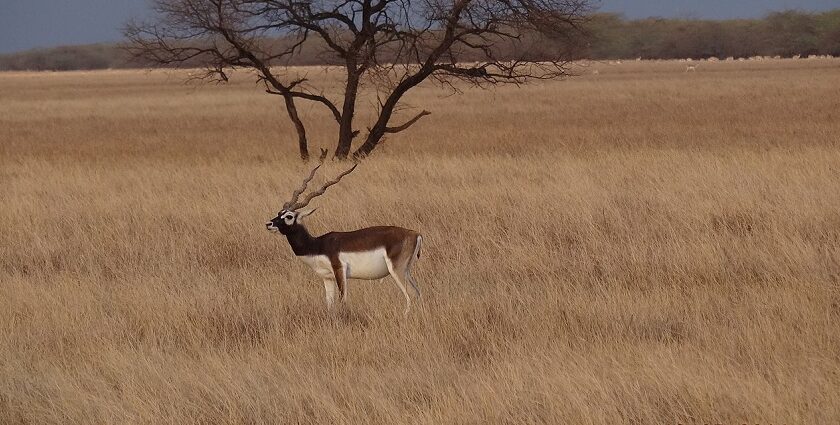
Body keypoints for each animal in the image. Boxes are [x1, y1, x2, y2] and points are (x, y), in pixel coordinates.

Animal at [266, 152, 424, 314]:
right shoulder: (327, 278)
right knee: (418, 292)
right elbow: (329, 304)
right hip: (406, 271)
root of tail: (415, 234)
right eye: (279, 213)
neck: (317, 245)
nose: (269, 224)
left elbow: (342, 300)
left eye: (289, 216)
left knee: (412, 294)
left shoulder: (339, 270)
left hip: (397, 270)